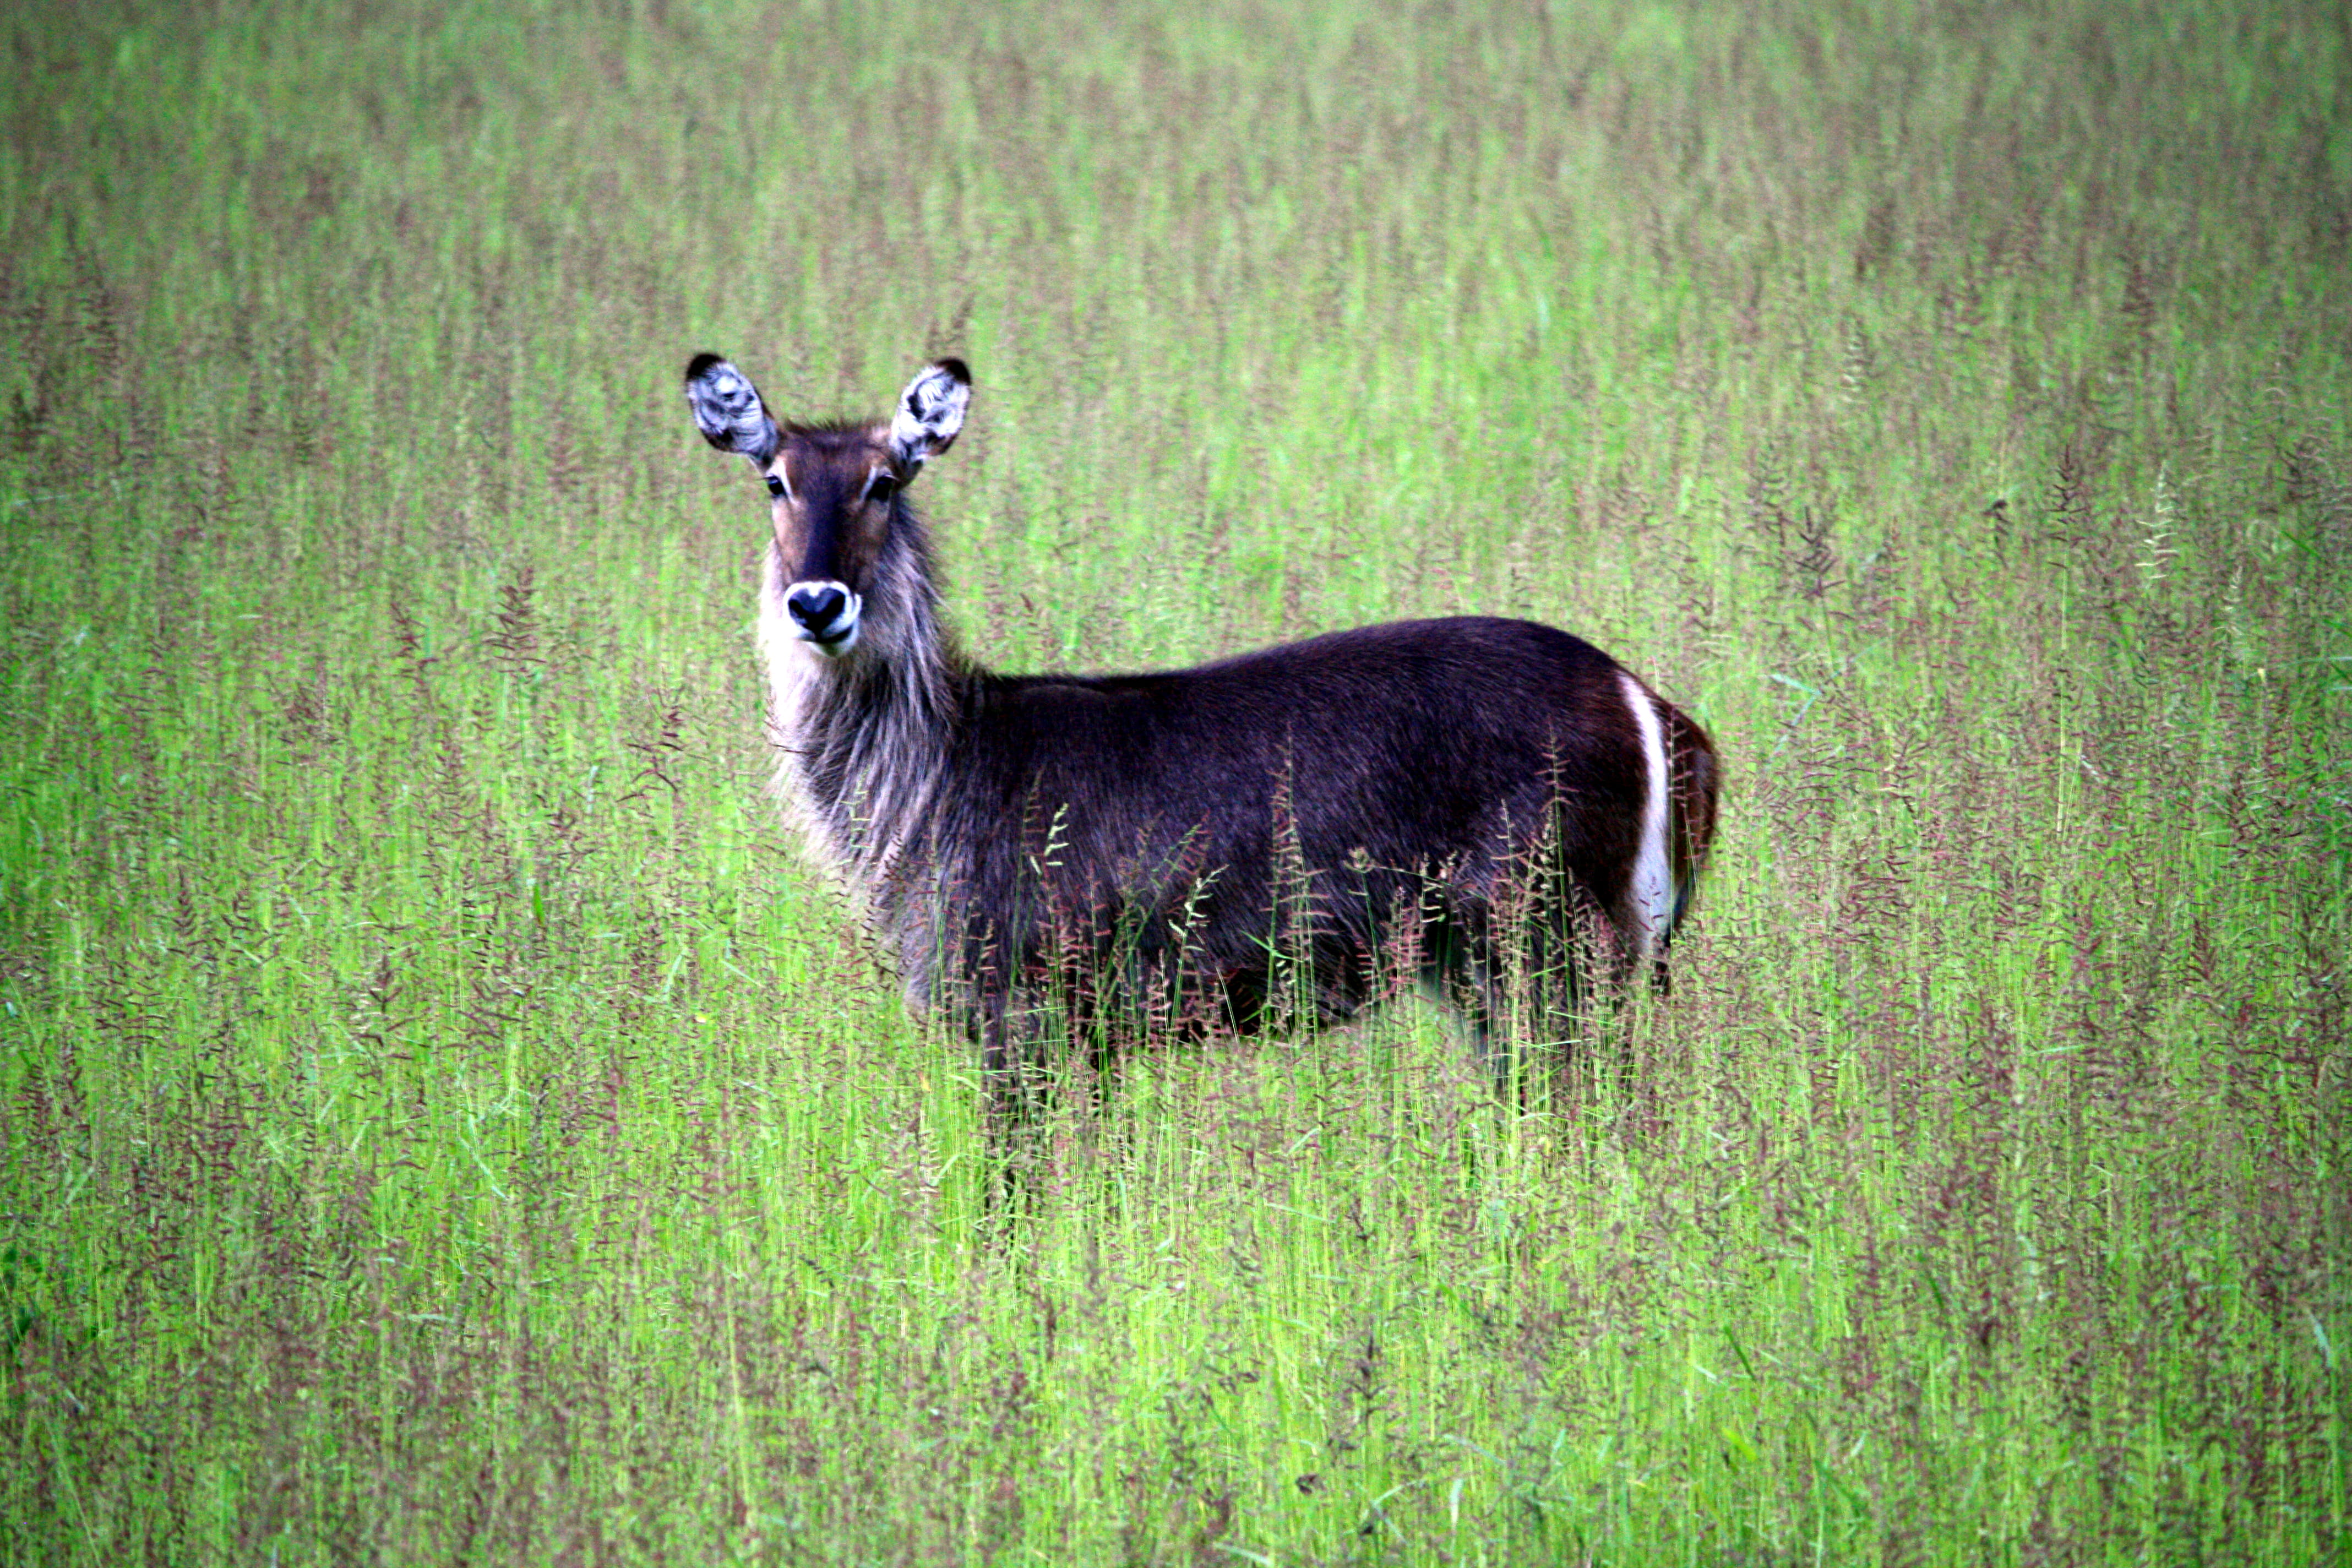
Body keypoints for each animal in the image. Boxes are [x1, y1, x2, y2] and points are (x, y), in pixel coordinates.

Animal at [683, 352, 1718, 1115]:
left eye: (884, 482)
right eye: (773, 480)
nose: (817, 602)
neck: (940, 777)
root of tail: (1651, 706)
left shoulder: (1024, 1012)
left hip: (1550, 948)